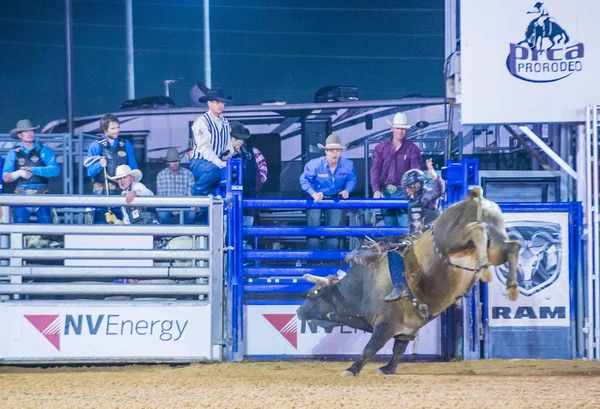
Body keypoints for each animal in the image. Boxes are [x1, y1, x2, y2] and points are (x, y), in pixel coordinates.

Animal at [296, 186, 520, 374]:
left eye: (312, 294)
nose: (298, 311)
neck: (361, 287)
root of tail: (473, 197)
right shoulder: (407, 330)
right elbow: (398, 350)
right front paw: (387, 369)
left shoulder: (385, 324)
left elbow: (370, 348)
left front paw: (351, 370)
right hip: (495, 245)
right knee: (511, 246)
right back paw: (508, 284)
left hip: (455, 239)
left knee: (477, 230)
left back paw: (486, 267)